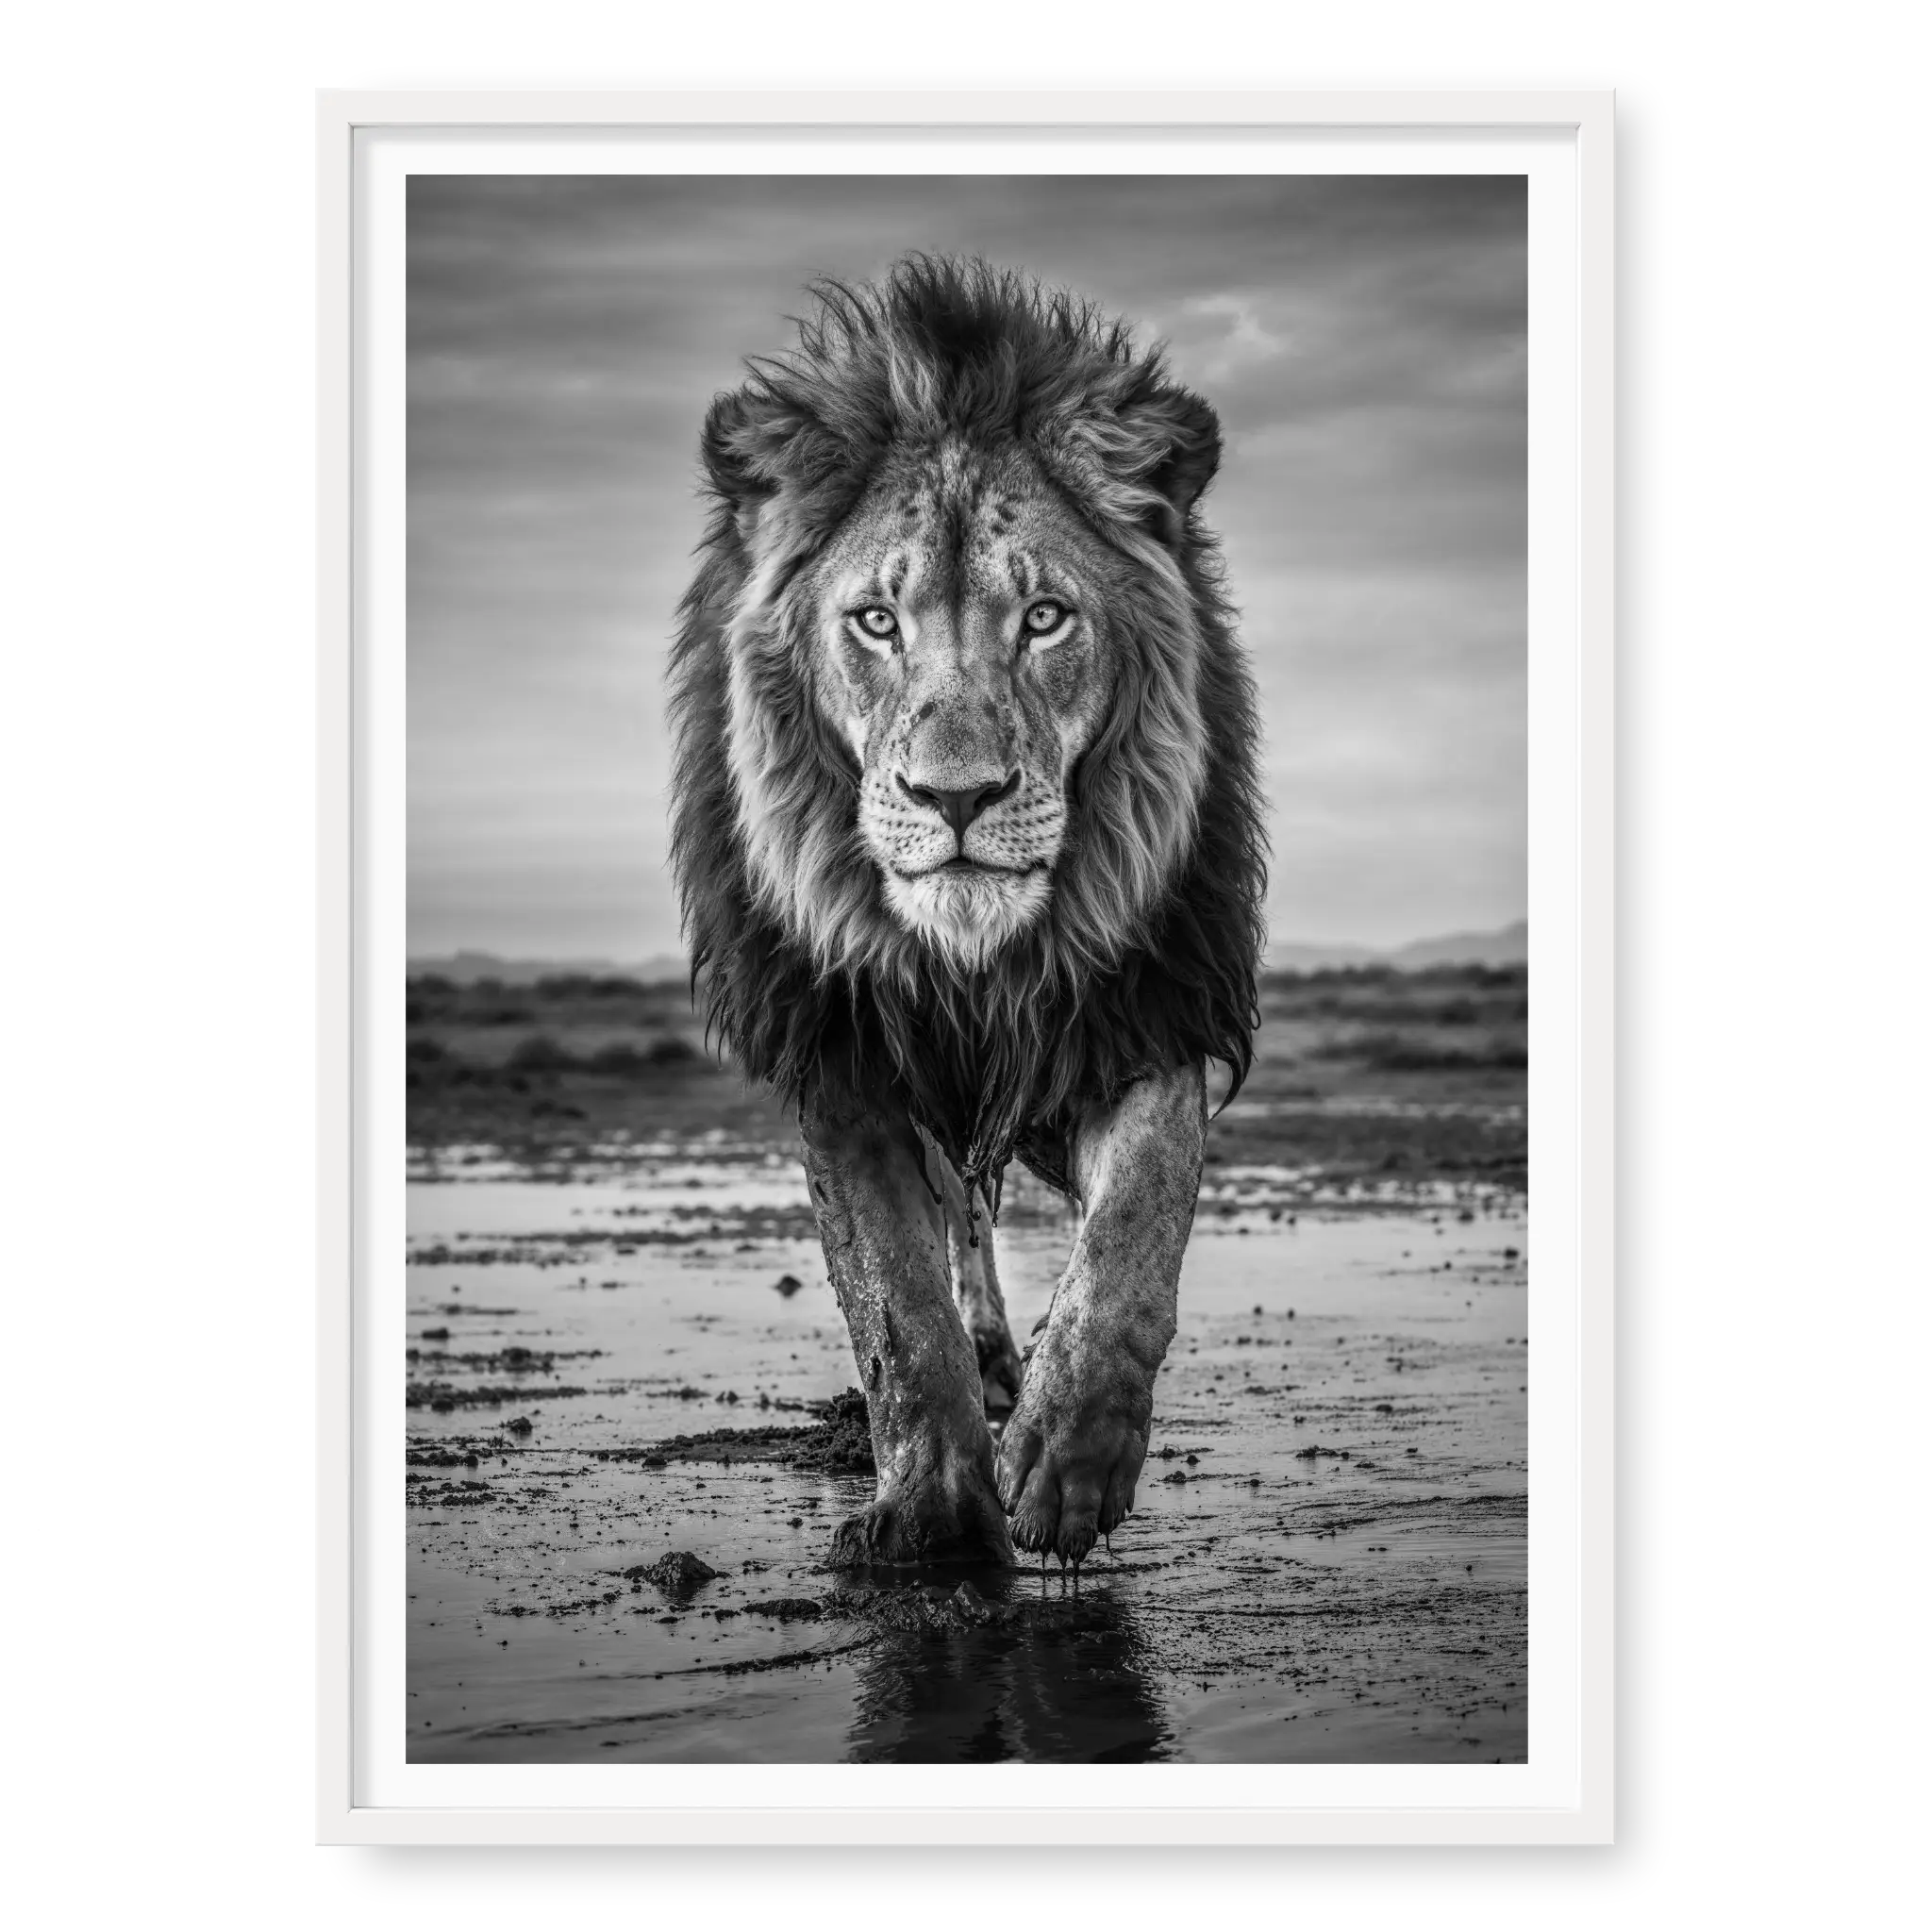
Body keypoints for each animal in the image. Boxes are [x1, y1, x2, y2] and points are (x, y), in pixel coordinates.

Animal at [668, 256, 1265, 1571]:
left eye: (1042, 618)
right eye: (874, 621)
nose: (956, 796)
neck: (977, 960)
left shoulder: (1140, 1006)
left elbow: (1134, 1228)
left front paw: (1067, 1457)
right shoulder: (841, 1050)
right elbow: (894, 1300)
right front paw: (937, 1513)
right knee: (957, 1232)